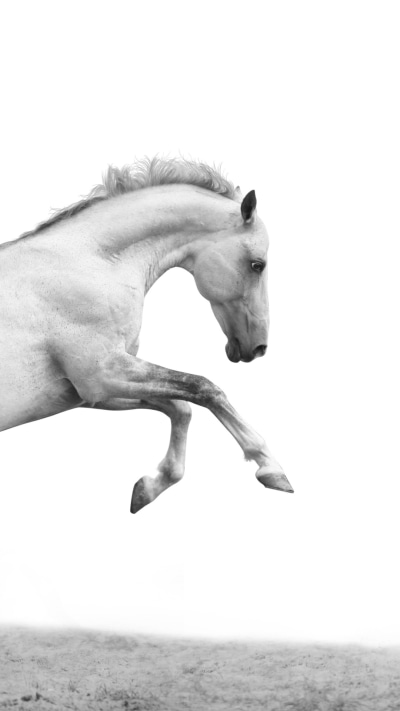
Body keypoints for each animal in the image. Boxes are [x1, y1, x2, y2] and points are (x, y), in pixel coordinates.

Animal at [0, 157, 293, 512]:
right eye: (257, 265)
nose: (258, 347)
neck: (91, 262)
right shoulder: (102, 374)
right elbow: (205, 388)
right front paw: (270, 467)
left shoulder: (90, 392)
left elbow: (181, 406)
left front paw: (149, 487)